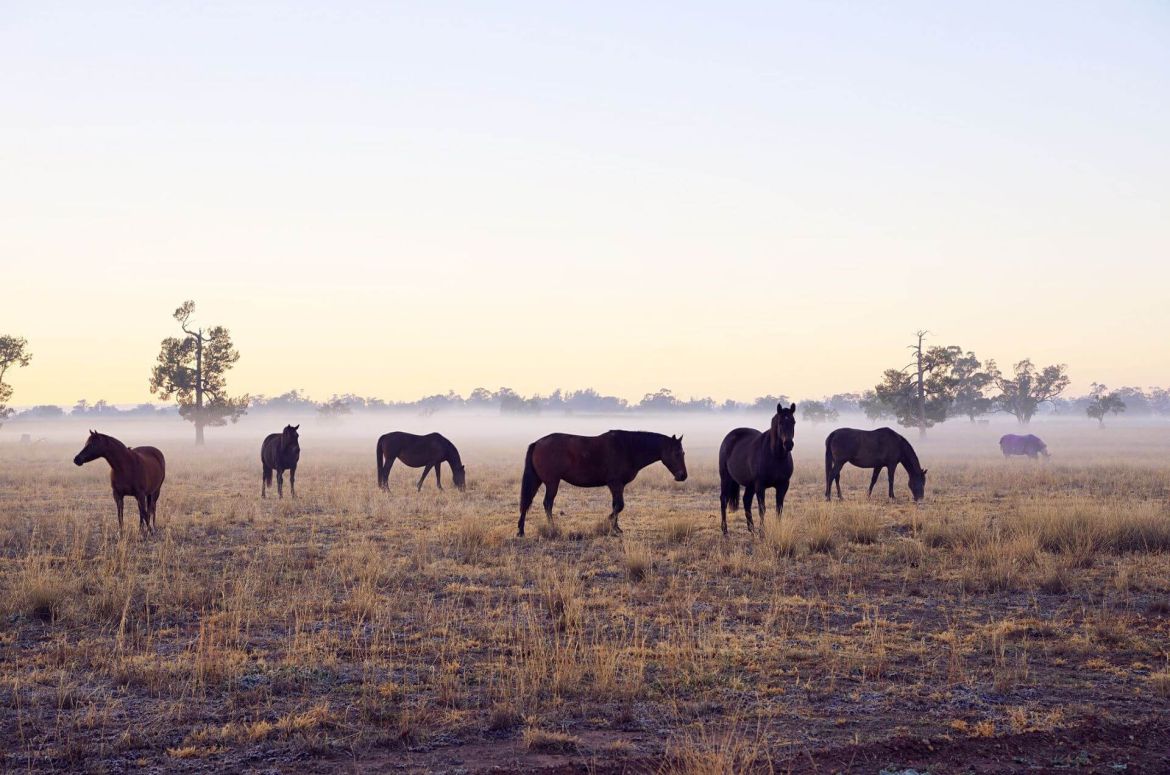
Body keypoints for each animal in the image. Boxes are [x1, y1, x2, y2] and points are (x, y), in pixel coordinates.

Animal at [518, 430, 687, 537]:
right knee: (547, 503)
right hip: (552, 482)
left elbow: (616, 505)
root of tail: (537, 443)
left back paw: (521, 530)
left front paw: (616, 527)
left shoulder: (618, 486)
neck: (628, 448)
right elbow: (619, 506)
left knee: (527, 503)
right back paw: (552, 528)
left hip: (538, 480)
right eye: (677, 453)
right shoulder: (615, 483)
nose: (683, 476)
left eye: (683, 453)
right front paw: (610, 524)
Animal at [718, 403, 796, 534]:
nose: (788, 444)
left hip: (750, 485)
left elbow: (779, 508)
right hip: (726, 478)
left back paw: (751, 529)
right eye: (780, 422)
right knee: (723, 499)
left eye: (793, 422)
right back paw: (725, 530)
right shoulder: (760, 485)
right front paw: (762, 533)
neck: (775, 455)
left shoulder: (783, 485)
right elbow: (762, 509)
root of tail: (728, 438)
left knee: (746, 500)